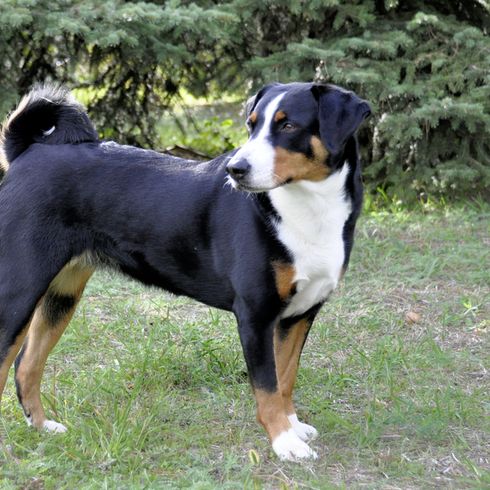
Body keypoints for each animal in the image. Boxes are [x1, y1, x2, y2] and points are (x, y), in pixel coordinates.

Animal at [0, 82, 368, 462]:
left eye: (289, 125)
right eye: (251, 125)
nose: (236, 169)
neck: (308, 208)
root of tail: (30, 152)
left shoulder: (299, 315)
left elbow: (286, 376)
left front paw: (293, 426)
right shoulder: (255, 314)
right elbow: (267, 386)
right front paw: (284, 441)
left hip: (62, 294)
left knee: (26, 365)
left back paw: (43, 427)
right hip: (18, 289)